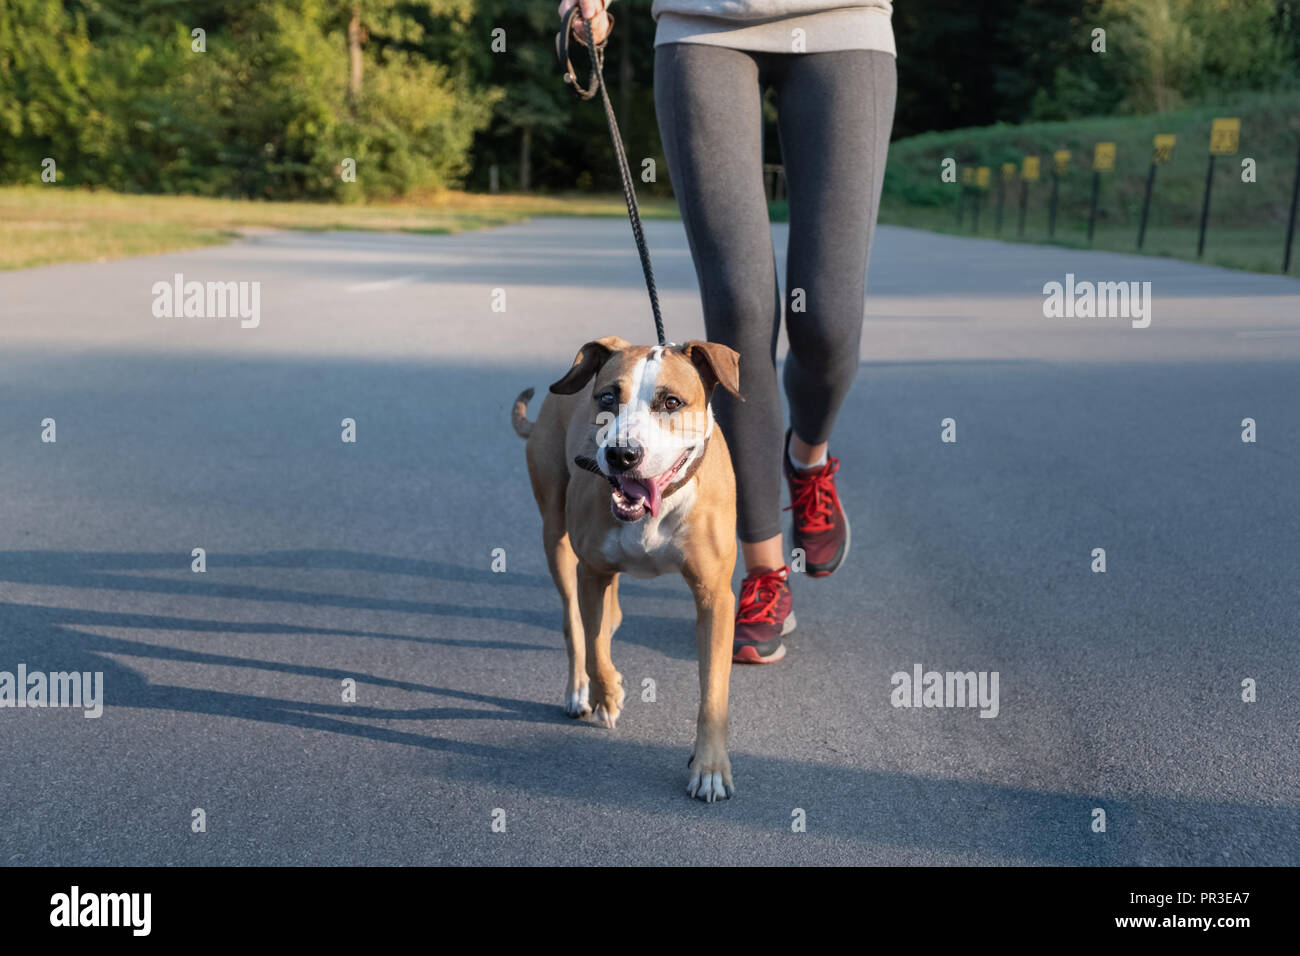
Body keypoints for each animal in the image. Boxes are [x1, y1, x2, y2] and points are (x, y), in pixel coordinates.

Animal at [514, 335, 743, 801]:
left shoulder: (715, 596)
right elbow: (595, 646)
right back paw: (580, 690)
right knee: (574, 624)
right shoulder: (591, 573)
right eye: (607, 397)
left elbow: (713, 691)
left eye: (671, 402)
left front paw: (710, 768)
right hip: (556, 537)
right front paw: (608, 693)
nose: (622, 453)